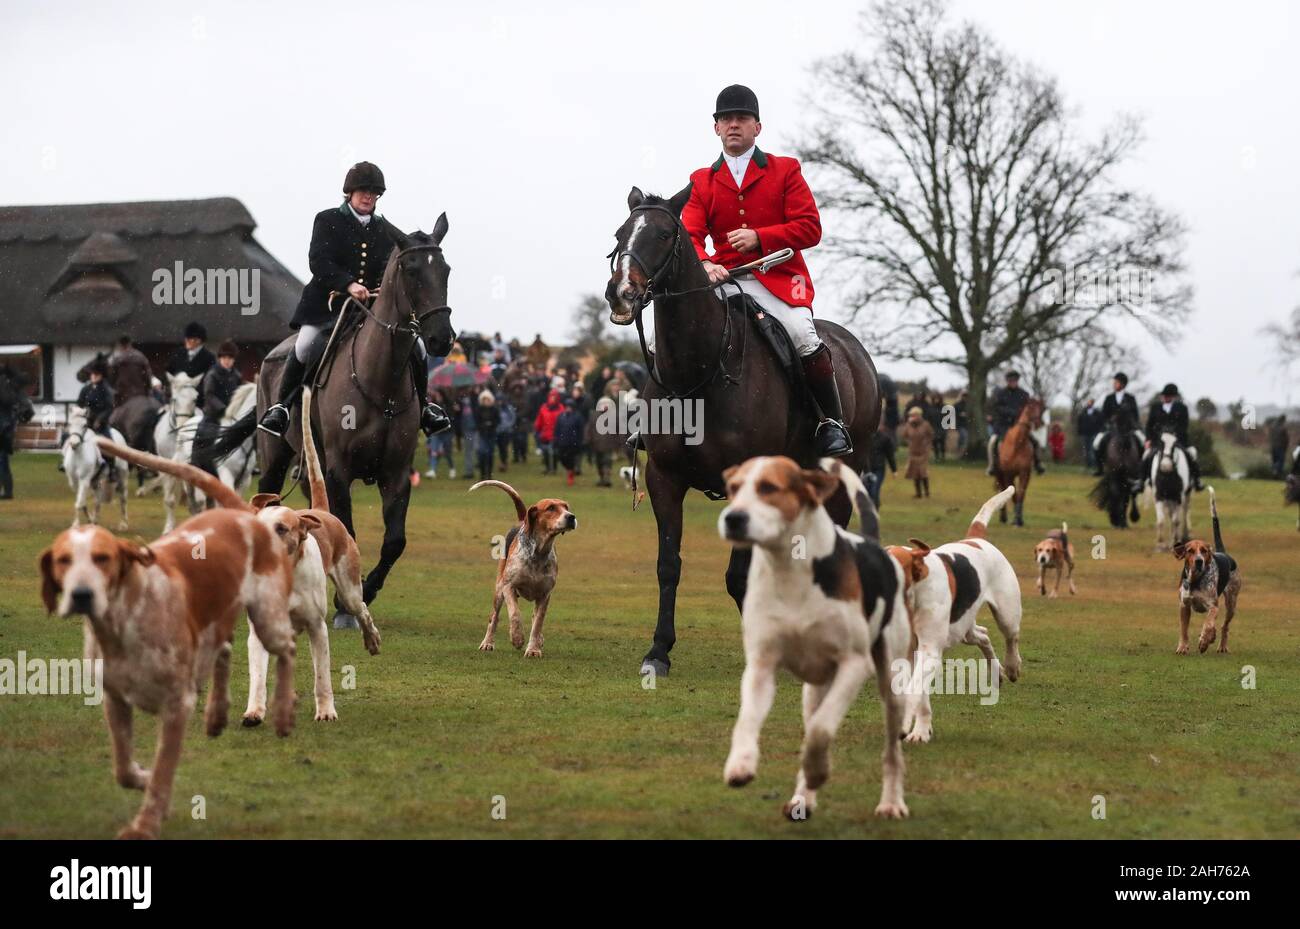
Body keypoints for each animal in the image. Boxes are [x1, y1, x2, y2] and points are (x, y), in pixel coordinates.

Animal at [603, 185, 878, 675]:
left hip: (845, 472)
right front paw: (658, 652)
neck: (699, 369)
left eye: (663, 234)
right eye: (620, 234)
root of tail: (853, 347)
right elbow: (668, 564)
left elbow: (739, 575)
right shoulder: (663, 478)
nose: (621, 293)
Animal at [993, 397, 1045, 527]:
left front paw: (1018, 519)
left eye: (1041, 408)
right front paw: (1015, 520)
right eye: (1030, 407)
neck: (1018, 443)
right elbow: (1014, 496)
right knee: (1001, 489)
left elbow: (1021, 495)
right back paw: (1003, 517)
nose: (1038, 423)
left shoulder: (1024, 473)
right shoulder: (1008, 474)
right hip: (999, 474)